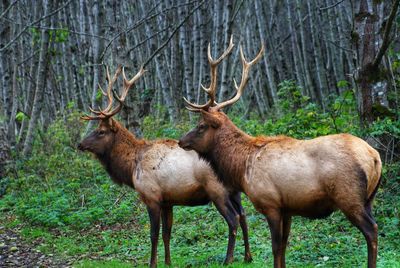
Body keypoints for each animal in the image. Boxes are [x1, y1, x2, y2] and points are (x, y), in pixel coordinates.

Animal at [77, 65, 253, 268]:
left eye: (101, 131)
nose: (80, 144)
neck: (131, 168)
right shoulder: (168, 201)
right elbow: (167, 233)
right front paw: (168, 262)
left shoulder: (151, 197)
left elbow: (153, 234)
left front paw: (152, 263)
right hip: (234, 191)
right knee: (244, 215)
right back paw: (248, 256)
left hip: (217, 190)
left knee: (233, 219)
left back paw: (228, 259)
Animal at [178, 37, 382, 268]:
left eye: (201, 126)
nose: (181, 141)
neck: (242, 168)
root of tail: (375, 157)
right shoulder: (288, 208)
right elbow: (284, 246)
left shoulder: (271, 204)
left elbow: (276, 247)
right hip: (369, 199)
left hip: (349, 197)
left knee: (372, 230)